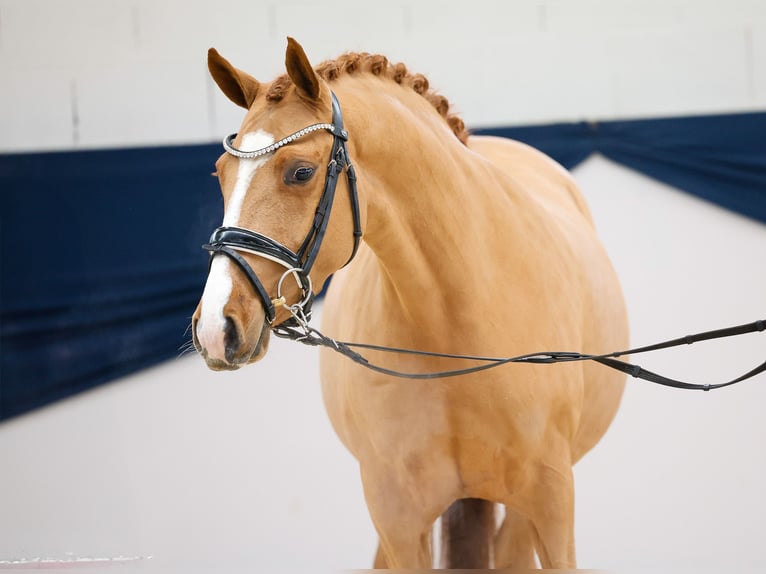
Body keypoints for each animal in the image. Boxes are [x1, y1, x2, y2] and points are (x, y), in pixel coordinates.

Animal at [192, 37, 632, 572]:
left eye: (300, 172)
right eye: (220, 173)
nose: (217, 328)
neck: (454, 327)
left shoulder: (551, 503)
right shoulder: (397, 519)